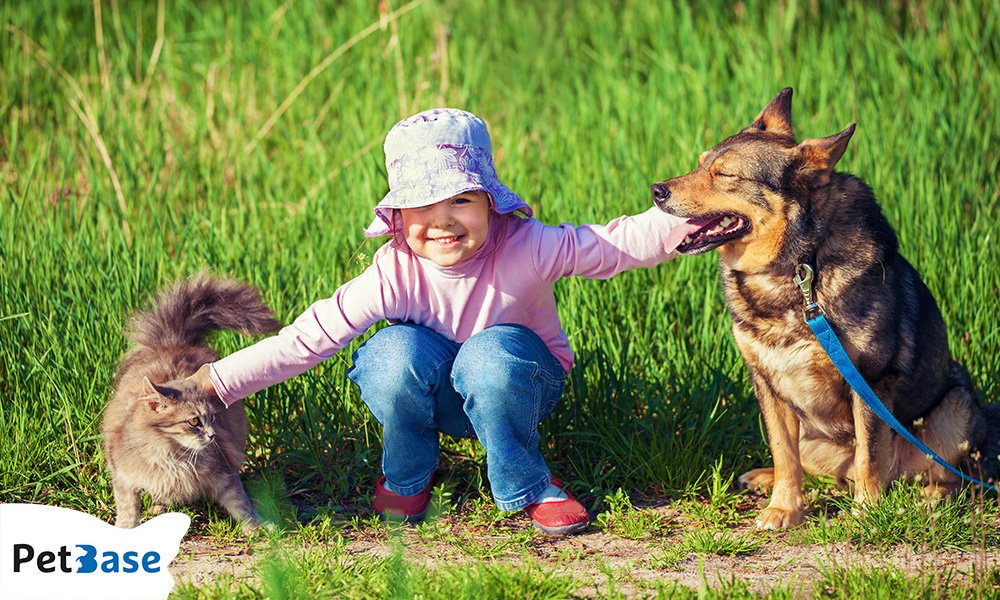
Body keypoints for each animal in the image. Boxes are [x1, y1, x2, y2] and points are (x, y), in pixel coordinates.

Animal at [103, 274, 282, 532]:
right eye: (194, 422)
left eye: (212, 418)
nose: (213, 435)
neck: (171, 457)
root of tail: (173, 341)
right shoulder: (124, 479)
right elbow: (127, 510)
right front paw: (126, 529)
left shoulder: (225, 473)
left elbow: (242, 505)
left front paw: (255, 529)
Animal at [652, 89, 996, 528]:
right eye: (699, 163)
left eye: (725, 174)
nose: (656, 190)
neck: (797, 266)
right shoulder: (767, 384)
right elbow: (785, 455)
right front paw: (783, 507)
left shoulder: (870, 383)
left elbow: (869, 456)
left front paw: (867, 512)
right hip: (814, 433)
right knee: (817, 468)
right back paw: (765, 477)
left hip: (953, 412)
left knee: (955, 475)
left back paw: (930, 496)